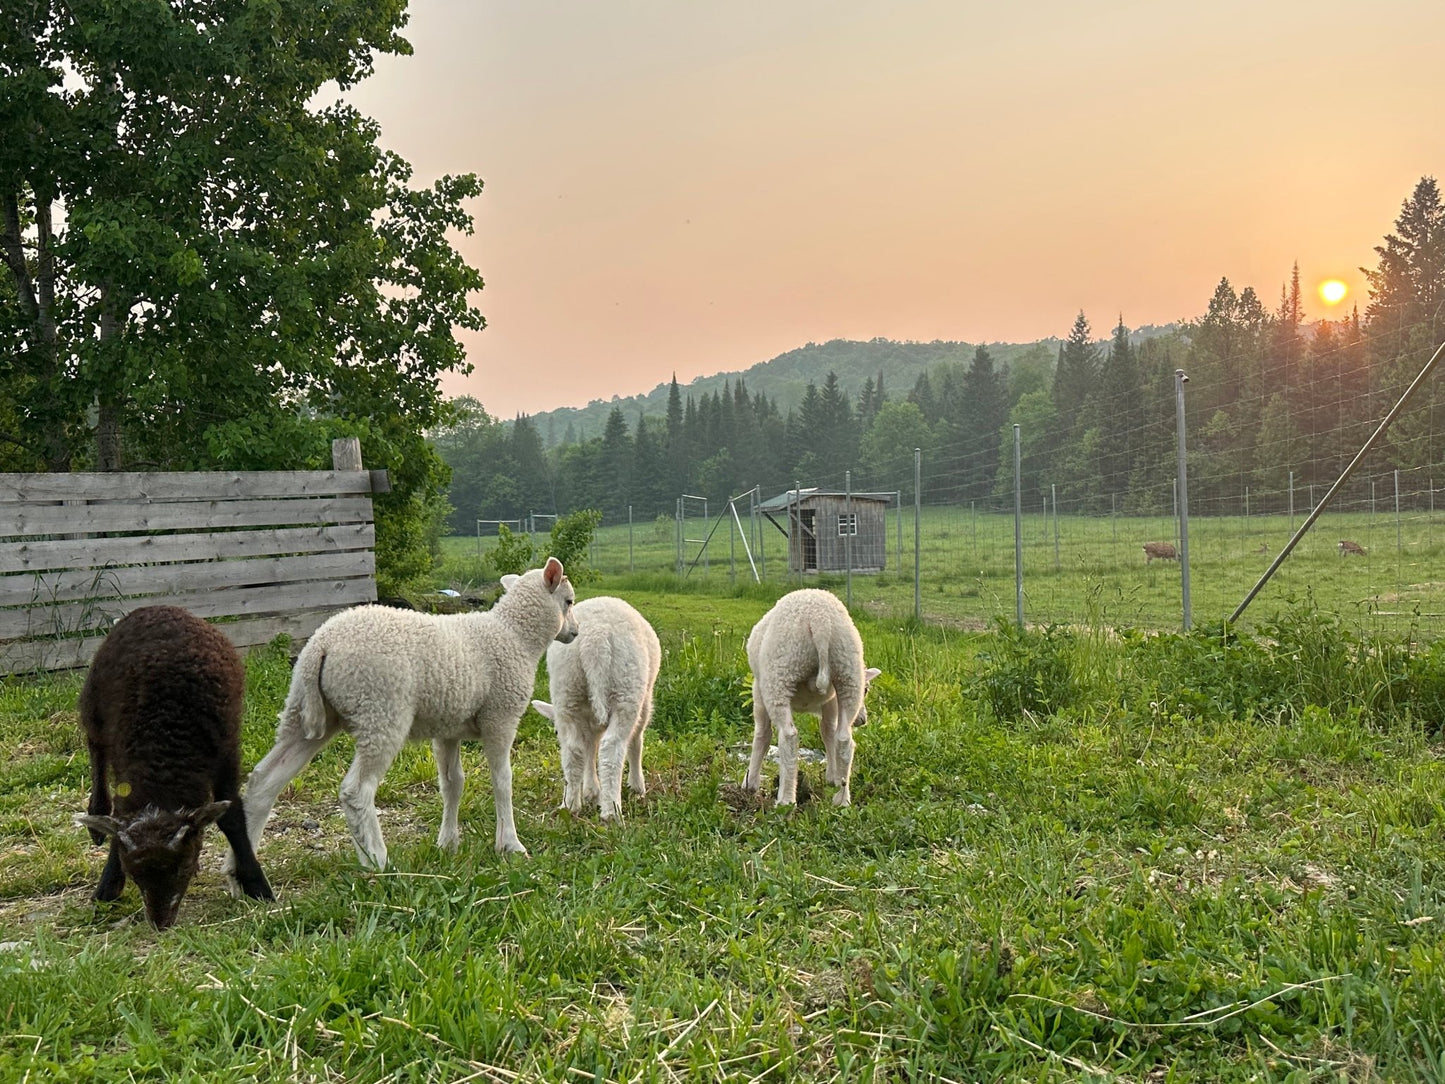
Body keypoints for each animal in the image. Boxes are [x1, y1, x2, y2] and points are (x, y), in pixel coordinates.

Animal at [73, 605, 274, 929]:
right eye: (135, 876)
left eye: (183, 867)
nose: (160, 924)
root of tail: (158, 607)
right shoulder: (124, 762)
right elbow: (118, 817)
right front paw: (107, 888)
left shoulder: (226, 754)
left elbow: (232, 817)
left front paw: (257, 885)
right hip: (94, 710)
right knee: (97, 758)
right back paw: (96, 818)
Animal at [231, 558, 577, 870]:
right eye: (569, 601)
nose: (574, 632)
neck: (514, 636)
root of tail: (321, 646)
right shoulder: (500, 716)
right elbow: (502, 780)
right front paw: (510, 845)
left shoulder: (448, 728)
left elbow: (452, 783)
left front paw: (447, 843)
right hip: (380, 710)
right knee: (356, 791)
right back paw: (377, 862)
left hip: (305, 712)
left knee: (264, 780)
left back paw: (241, 874)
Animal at [530, 596, 661, 820]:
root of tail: (595, 638)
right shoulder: (644, 701)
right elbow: (636, 740)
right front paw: (637, 786)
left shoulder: (587, 720)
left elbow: (589, 747)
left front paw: (591, 791)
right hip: (627, 686)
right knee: (613, 747)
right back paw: (612, 812)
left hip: (567, 689)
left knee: (573, 750)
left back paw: (570, 805)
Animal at [743, 589, 881, 808]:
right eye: (866, 691)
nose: (863, 720)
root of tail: (820, 621)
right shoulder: (831, 701)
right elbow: (828, 732)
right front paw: (833, 777)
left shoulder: (758, 689)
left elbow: (762, 734)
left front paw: (750, 783)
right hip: (848, 674)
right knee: (844, 740)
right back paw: (842, 799)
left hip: (779, 675)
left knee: (788, 737)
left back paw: (786, 800)